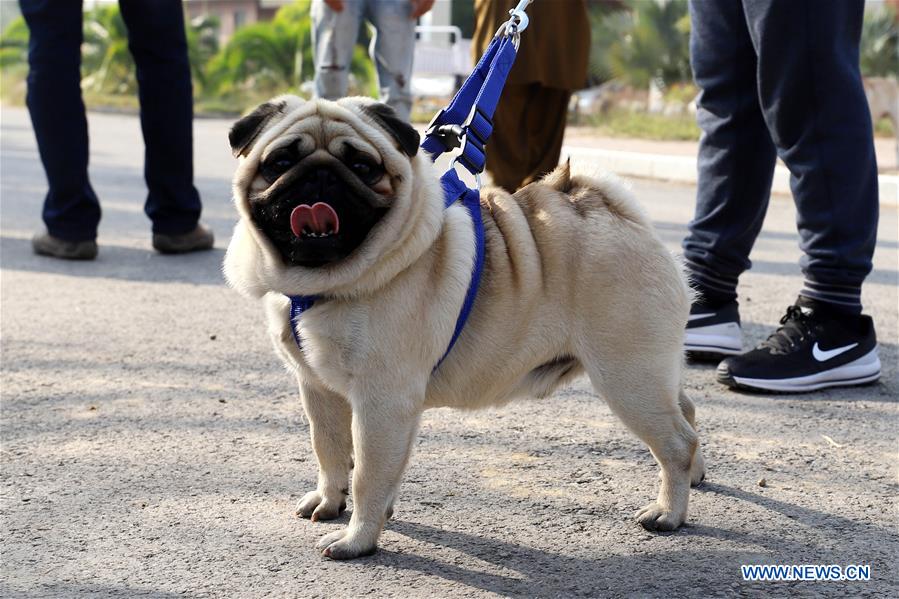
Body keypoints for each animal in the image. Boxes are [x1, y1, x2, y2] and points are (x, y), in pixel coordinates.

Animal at [223, 96, 704, 560]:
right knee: (688, 412)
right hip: (651, 371)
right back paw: (696, 476)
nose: (320, 176)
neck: (329, 280)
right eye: (281, 161)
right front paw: (331, 500)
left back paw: (668, 512)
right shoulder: (319, 389)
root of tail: (617, 213)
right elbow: (329, 448)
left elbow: (369, 474)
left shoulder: (382, 400)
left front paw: (358, 538)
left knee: (677, 441)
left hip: (628, 377)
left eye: (362, 166)